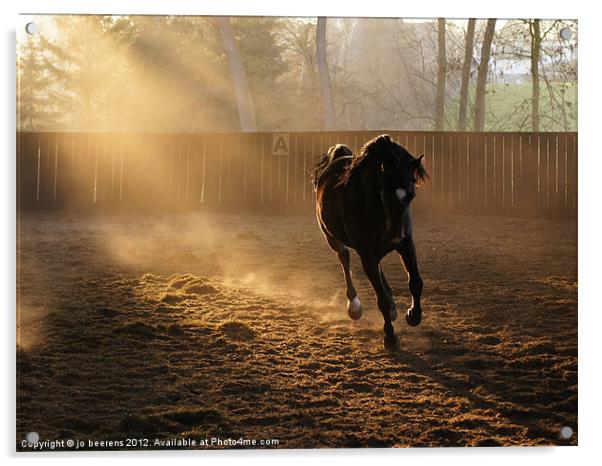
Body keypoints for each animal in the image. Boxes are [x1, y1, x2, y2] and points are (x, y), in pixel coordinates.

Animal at [310, 133, 426, 348]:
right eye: (384, 195)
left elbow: (415, 282)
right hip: (332, 239)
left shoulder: (406, 245)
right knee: (344, 259)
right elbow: (381, 299)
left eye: (411, 195)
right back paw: (354, 306)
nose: (395, 236)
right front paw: (390, 337)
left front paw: (414, 315)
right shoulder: (367, 255)